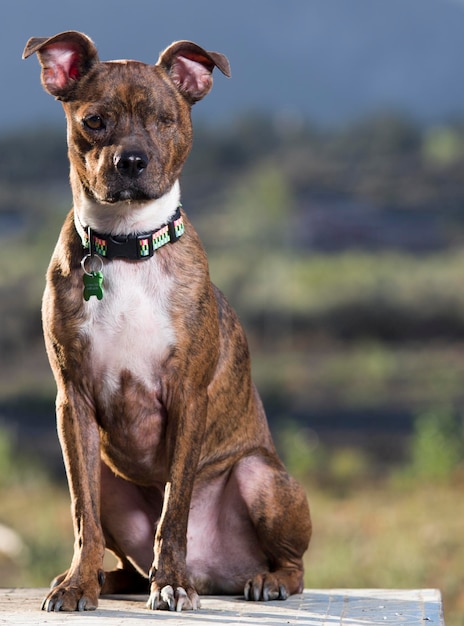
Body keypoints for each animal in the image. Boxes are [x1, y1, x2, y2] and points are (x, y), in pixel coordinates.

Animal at [22, 30, 312, 608]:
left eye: (164, 119)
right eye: (94, 120)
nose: (131, 160)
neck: (126, 245)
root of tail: (218, 571)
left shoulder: (187, 398)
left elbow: (174, 506)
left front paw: (172, 581)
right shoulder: (73, 399)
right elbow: (82, 512)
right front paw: (77, 584)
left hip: (261, 477)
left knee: (294, 564)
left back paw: (264, 580)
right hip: (110, 476)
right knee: (118, 549)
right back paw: (105, 580)